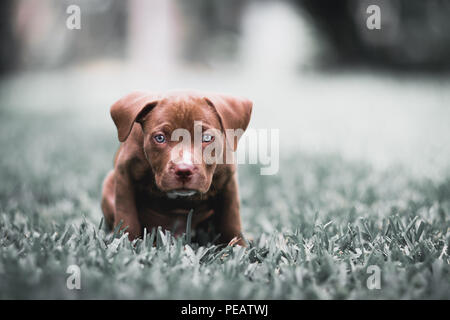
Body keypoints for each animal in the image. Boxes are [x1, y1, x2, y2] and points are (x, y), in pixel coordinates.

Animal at [101, 91, 253, 246]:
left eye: (207, 138)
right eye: (160, 138)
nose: (184, 170)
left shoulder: (228, 181)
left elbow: (231, 219)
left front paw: (238, 246)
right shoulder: (125, 175)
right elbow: (127, 215)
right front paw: (125, 243)